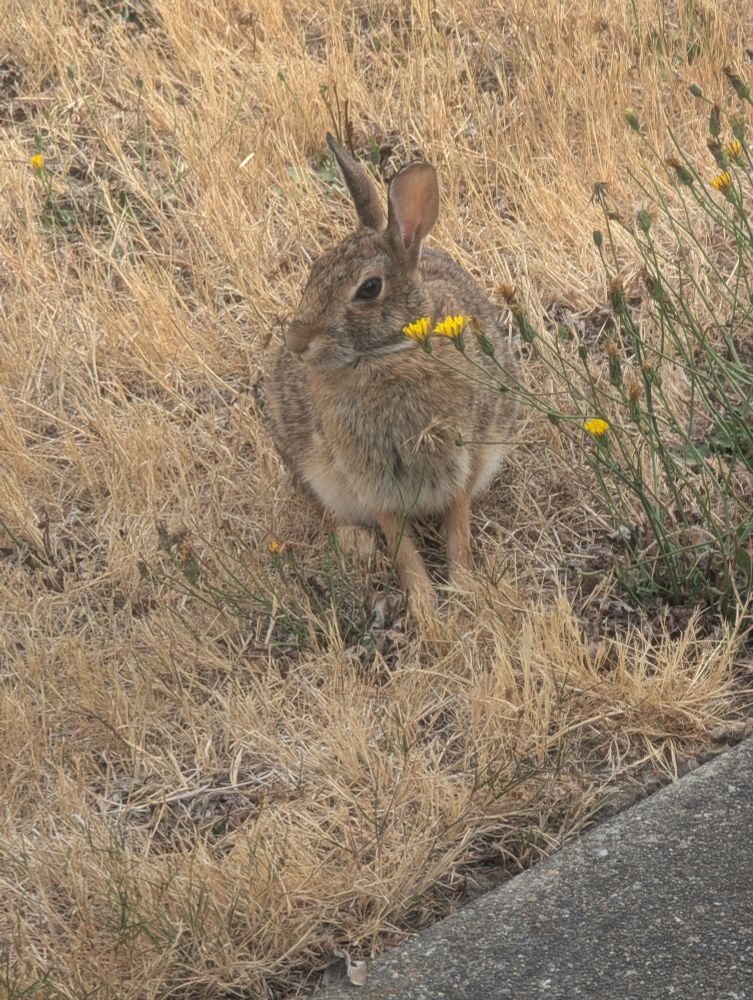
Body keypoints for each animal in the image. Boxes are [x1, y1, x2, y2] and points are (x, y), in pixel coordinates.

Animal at [266, 133, 518, 603]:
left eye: (369, 288)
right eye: (315, 270)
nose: (297, 342)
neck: (388, 355)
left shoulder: (462, 458)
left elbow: (457, 530)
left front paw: (463, 590)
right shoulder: (370, 481)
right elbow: (403, 550)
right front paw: (425, 606)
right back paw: (357, 545)